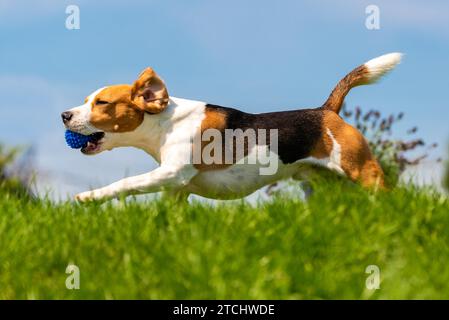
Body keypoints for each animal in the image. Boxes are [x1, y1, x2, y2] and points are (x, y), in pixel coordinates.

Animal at [61, 53, 400, 202]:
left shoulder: (171, 173)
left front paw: (91, 197)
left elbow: (127, 183)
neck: (165, 122)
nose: (64, 115)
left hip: (362, 171)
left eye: (102, 103)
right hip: (320, 186)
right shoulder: (176, 189)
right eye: (87, 100)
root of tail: (326, 110)